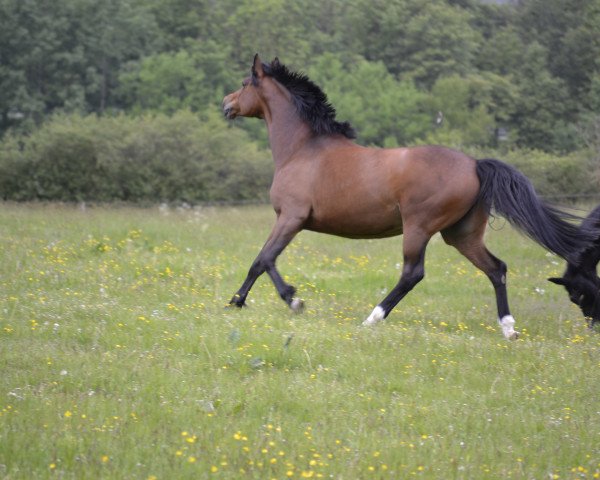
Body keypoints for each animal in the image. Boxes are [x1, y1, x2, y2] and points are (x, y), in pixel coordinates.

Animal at [223, 55, 592, 338]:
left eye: (244, 82)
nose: (225, 104)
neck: (303, 149)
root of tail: (475, 164)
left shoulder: (291, 217)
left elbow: (264, 259)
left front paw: (272, 300)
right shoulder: (291, 219)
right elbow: (263, 260)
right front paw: (249, 301)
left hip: (419, 227)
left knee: (412, 273)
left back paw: (372, 318)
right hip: (462, 234)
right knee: (496, 268)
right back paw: (508, 328)